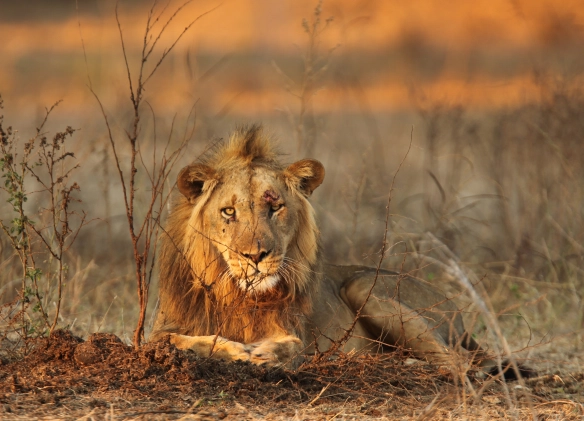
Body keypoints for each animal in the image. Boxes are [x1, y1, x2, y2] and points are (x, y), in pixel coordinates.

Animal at [151, 124, 532, 378]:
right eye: (228, 212)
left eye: (275, 207)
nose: (256, 257)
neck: (235, 293)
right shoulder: (157, 332)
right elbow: (184, 340)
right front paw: (238, 351)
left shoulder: (298, 332)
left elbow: (292, 346)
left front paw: (265, 353)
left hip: (366, 289)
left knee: (462, 363)